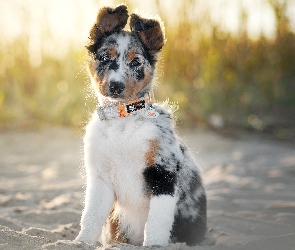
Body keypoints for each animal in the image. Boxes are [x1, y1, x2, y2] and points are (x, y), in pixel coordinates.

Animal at [75, 4, 207, 247]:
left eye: (136, 62)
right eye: (104, 57)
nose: (116, 86)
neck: (122, 122)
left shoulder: (163, 174)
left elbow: (156, 223)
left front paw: (153, 245)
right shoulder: (101, 179)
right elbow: (90, 217)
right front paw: (80, 242)